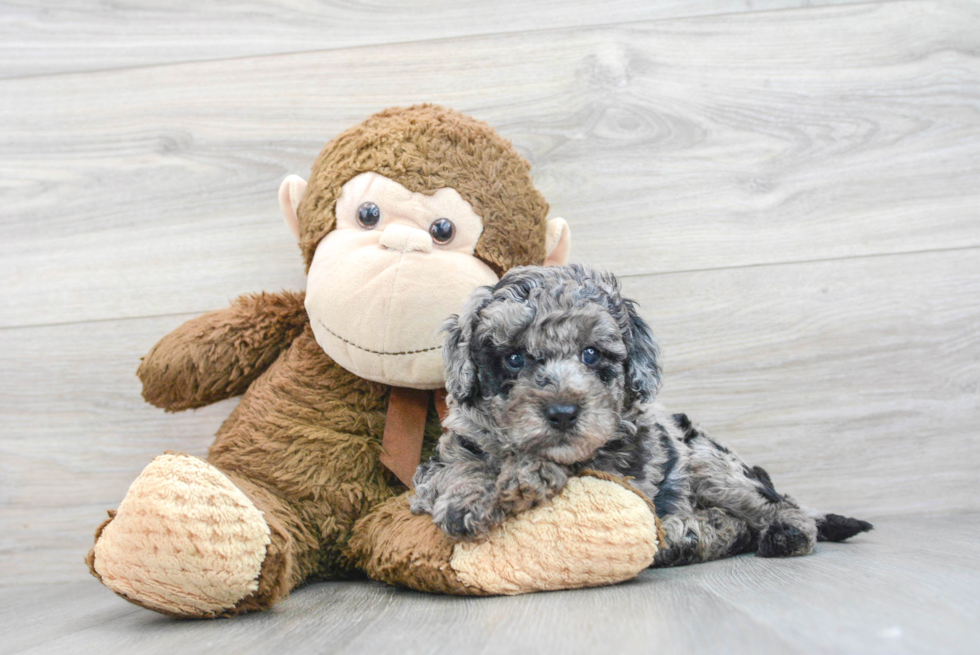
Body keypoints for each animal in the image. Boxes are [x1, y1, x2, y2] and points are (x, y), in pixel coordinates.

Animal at [410, 264, 868, 568]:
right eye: (514, 358)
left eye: (591, 354)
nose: (563, 413)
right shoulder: (445, 458)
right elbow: (461, 469)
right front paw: (470, 500)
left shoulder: (623, 472)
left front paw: (527, 476)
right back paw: (688, 536)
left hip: (714, 466)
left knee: (774, 508)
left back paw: (781, 533)